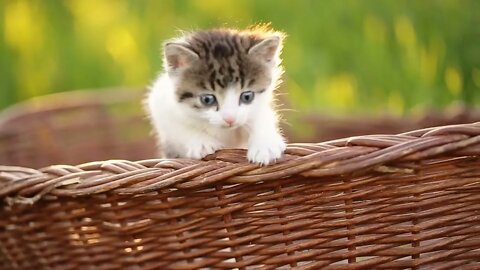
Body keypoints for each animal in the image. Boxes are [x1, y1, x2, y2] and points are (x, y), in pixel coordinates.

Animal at [142, 26, 284, 165]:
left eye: (247, 96)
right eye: (207, 99)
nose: (230, 119)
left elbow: (261, 118)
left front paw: (265, 145)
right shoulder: (160, 103)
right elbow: (177, 128)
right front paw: (202, 143)